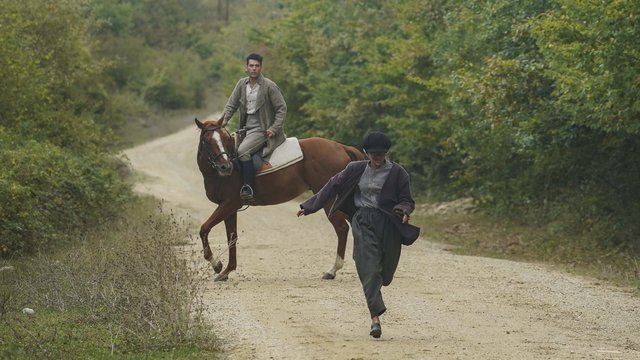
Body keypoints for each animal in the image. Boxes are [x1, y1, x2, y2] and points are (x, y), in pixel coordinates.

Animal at [195, 117, 364, 282]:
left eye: (224, 138)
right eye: (207, 140)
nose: (226, 167)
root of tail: (342, 147)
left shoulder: (229, 204)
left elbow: (204, 229)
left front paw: (216, 265)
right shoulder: (229, 208)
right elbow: (232, 237)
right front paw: (226, 271)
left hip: (329, 200)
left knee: (342, 228)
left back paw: (332, 270)